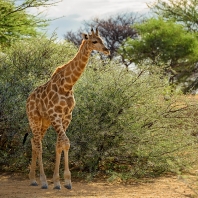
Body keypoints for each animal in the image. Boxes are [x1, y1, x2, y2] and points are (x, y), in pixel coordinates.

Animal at [25, 28, 110, 190]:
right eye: (94, 41)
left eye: (102, 39)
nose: (107, 50)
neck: (68, 85)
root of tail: (28, 100)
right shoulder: (55, 115)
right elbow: (65, 142)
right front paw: (63, 181)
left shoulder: (67, 116)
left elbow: (60, 144)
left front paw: (61, 182)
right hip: (34, 118)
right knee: (38, 145)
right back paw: (43, 181)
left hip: (44, 121)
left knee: (34, 141)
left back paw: (33, 179)